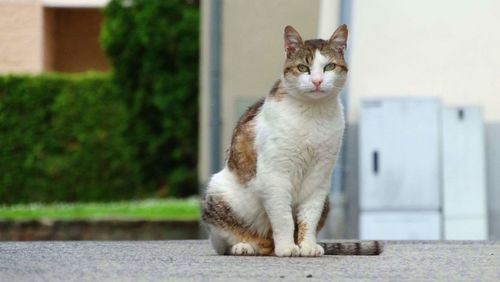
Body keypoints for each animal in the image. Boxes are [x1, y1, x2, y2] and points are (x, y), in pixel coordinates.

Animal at [203, 25, 382, 256]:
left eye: (329, 66)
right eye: (303, 67)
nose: (317, 81)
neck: (312, 114)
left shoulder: (319, 177)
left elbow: (309, 218)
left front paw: (307, 246)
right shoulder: (275, 175)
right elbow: (283, 218)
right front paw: (287, 247)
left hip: (327, 199)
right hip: (218, 194)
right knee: (229, 239)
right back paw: (245, 245)